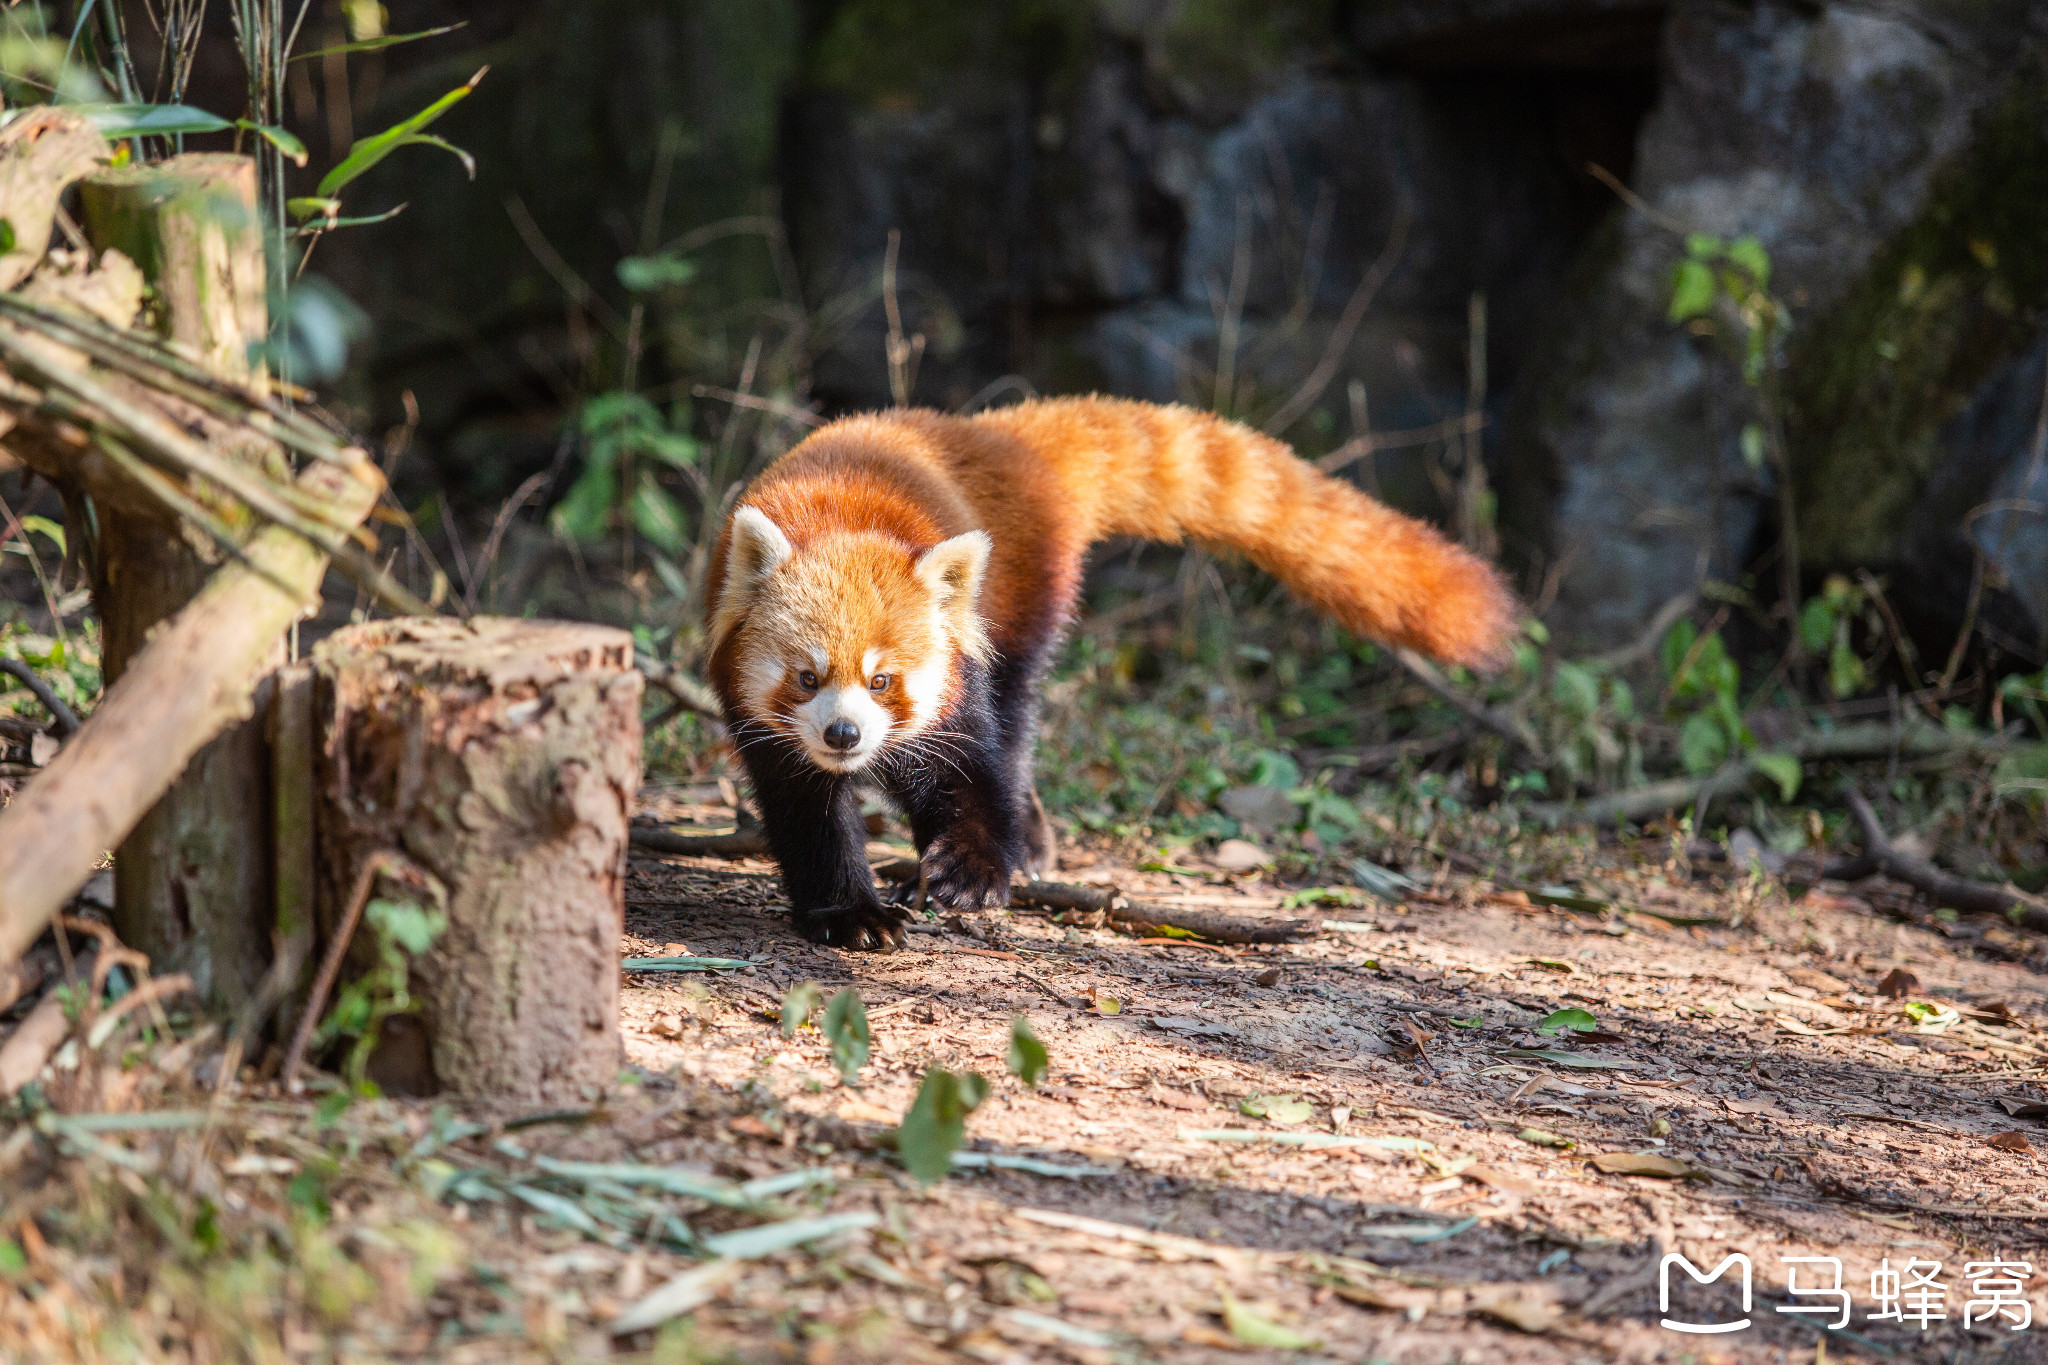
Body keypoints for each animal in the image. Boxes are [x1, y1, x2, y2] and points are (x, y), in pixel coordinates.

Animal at [704, 394, 1523, 949]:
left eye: (882, 681)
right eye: (807, 677)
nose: (844, 735)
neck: (843, 516)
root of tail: (993, 433)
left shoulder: (954, 689)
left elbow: (968, 769)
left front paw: (968, 872)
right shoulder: (769, 727)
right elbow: (807, 811)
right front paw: (851, 913)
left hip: (1020, 605)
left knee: (1013, 721)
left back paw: (1026, 842)